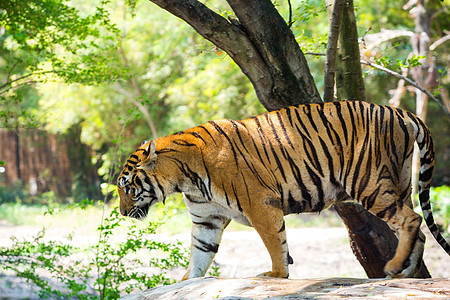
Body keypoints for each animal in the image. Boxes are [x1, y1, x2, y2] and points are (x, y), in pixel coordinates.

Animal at [117, 100, 450, 278]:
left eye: (127, 187)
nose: (121, 213)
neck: (184, 177)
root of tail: (398, 111)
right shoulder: (205, 220)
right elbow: (200, 254)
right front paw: (186, 281)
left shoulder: (260, 204)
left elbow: (276, 243)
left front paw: (276, 275)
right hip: (399, 184)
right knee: (417, 229)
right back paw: (406, 273)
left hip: (369, 182)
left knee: (412, 220)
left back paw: (394, 268)